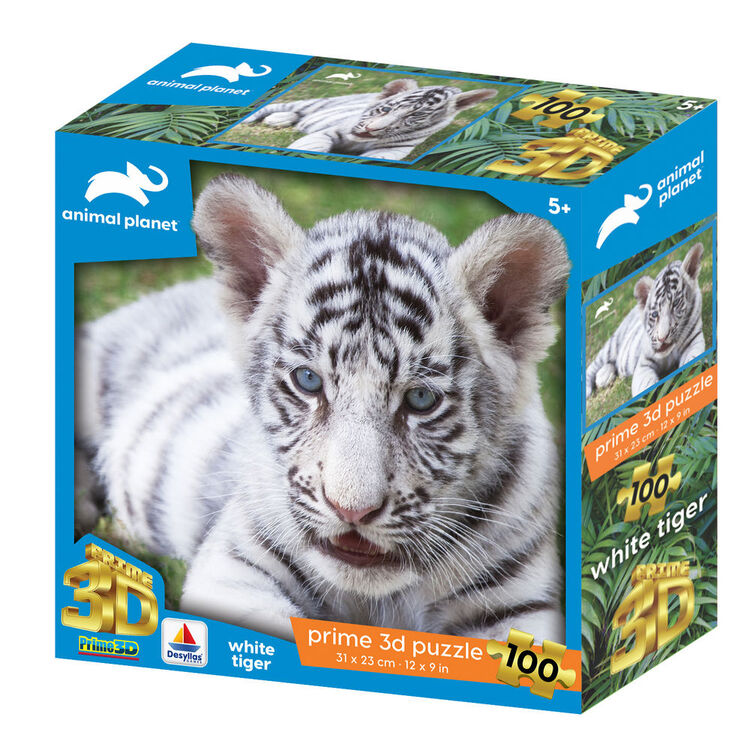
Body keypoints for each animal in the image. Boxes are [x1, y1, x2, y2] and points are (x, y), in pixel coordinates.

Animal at [243, 78, 497, 160]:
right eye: (385, 109)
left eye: (414, 117)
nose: (370, 130)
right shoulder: (333, 131)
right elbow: (313, 144)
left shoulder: (390, 152)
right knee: (275, 106)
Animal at [585, 242, 705, 401]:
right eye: (655, 314)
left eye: (675, 304)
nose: (662, 338)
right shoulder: (643, 364)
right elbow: (645, 386)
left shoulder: (693, 342)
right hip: (612, 345)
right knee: (593, 365)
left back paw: (603, 376)